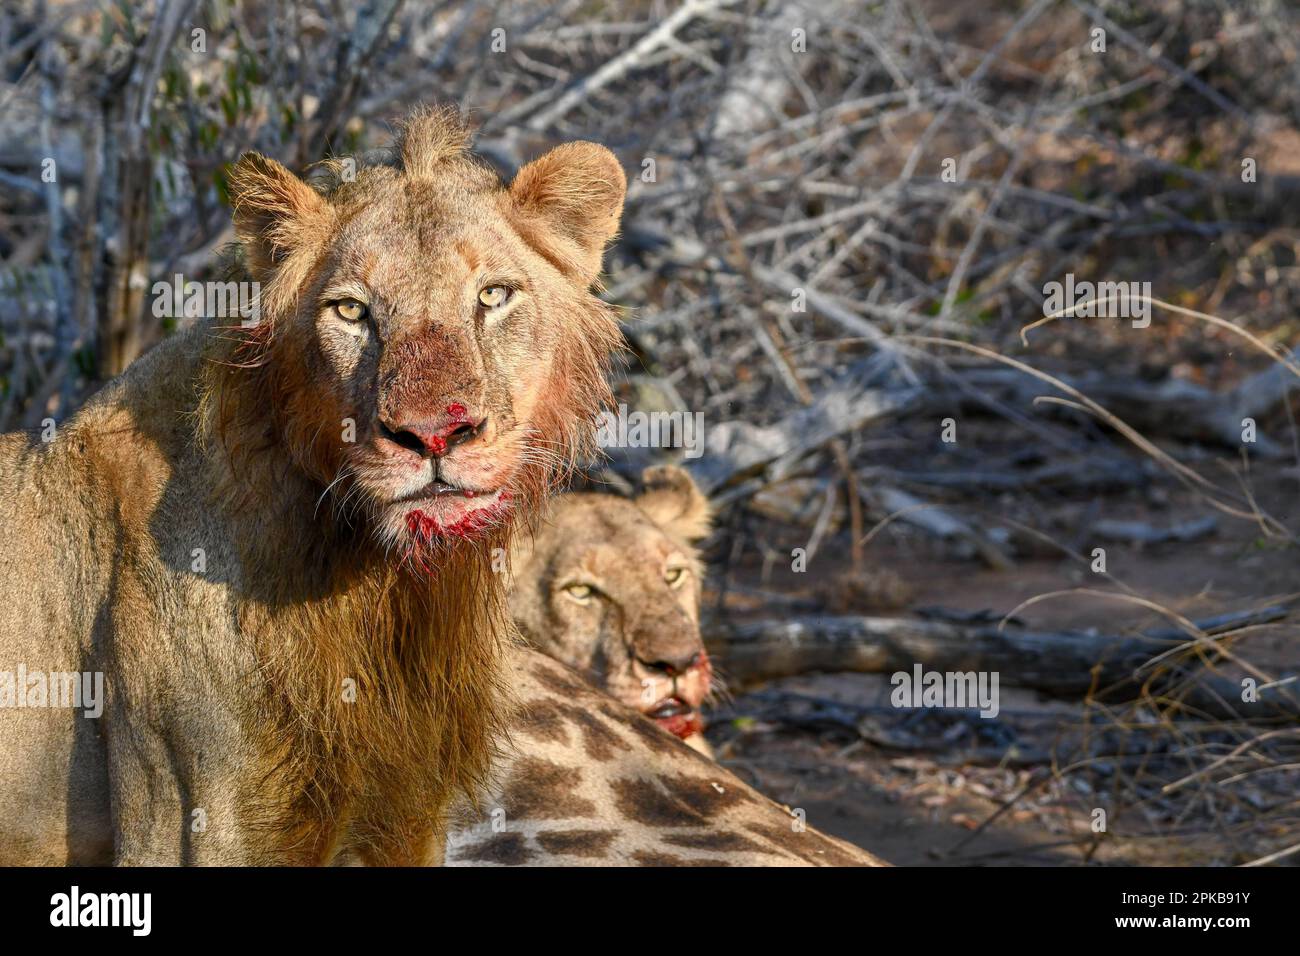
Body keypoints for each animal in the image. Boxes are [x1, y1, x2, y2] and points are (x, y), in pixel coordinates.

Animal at [0, 107, 625, 865]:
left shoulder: (408, 813)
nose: (434, 435)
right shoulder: (191, 817)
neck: (377, 591)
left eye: (492, 296)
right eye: (352, 311)